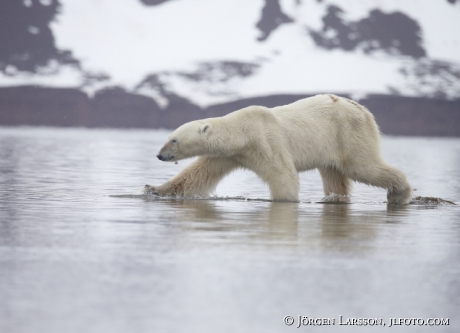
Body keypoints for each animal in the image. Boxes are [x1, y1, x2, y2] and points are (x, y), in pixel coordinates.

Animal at [146, 92, 412, 202]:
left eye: (174, 139)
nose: (159, 155)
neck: (244, 131)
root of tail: (362, 109)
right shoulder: (229, 154)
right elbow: (197, 175)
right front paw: (153, 189)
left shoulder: (266, 141)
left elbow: (283, 175)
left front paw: (285, 200)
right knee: (334, 175)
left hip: (348, 134)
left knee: (363, 166)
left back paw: (400, 192)